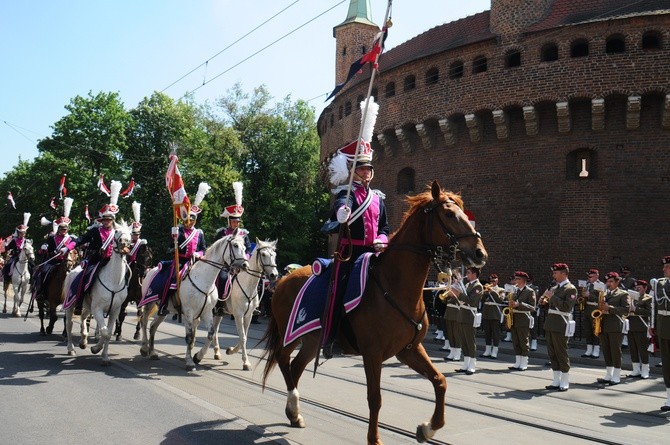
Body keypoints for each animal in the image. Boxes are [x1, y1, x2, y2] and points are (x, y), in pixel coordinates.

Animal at [63, 222, 132, 364]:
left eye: (130, 233)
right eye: (117, 231)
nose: (124, 242)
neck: (114, 281)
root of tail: (72, 270)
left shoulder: (114, 310)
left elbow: (108, 333)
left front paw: (105, 356)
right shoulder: (98, 309)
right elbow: (104, 332)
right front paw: (96, 348)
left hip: (88, 306)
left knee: (83, 317)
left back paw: (83, 341)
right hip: (71, 305)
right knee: (69, 324)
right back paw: (71, 348)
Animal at [140, 229, 249, 372]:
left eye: (245, 247)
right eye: (235, 245)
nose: (245, 265)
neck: (204, 280)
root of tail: (150, 270)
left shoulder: (207, 312)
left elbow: (210, 334)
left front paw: (198, 356)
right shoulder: (188, 312)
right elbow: (190, 336)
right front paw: (189, 362)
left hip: (164, 309)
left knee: (153, 326)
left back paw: (153, 352)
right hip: (149, 303)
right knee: (144, 321)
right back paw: (144, 348)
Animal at [211, 238, 282, 370]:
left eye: (274, 255)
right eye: (263, 254)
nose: (274, 275)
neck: (248, 285)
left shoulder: (248, 315)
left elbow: (244, 336)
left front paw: (230, 350)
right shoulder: (238, 315)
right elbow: (243, 337)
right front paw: (246, 362)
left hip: (219, 313)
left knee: (215, 330)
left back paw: (217, 352)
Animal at [262, 180, 488, 444]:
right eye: (449, 214)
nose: (480, 253)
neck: (396, 286)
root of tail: (283, 280)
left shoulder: (409, 350)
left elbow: (439, 381)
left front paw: (428, 428)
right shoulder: (372, 353)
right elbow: (375, 398)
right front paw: (375, 439)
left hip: (311, 339)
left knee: (296, 366)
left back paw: (294, 413)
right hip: (291, 334)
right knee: (282, 359)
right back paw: (294, 403)